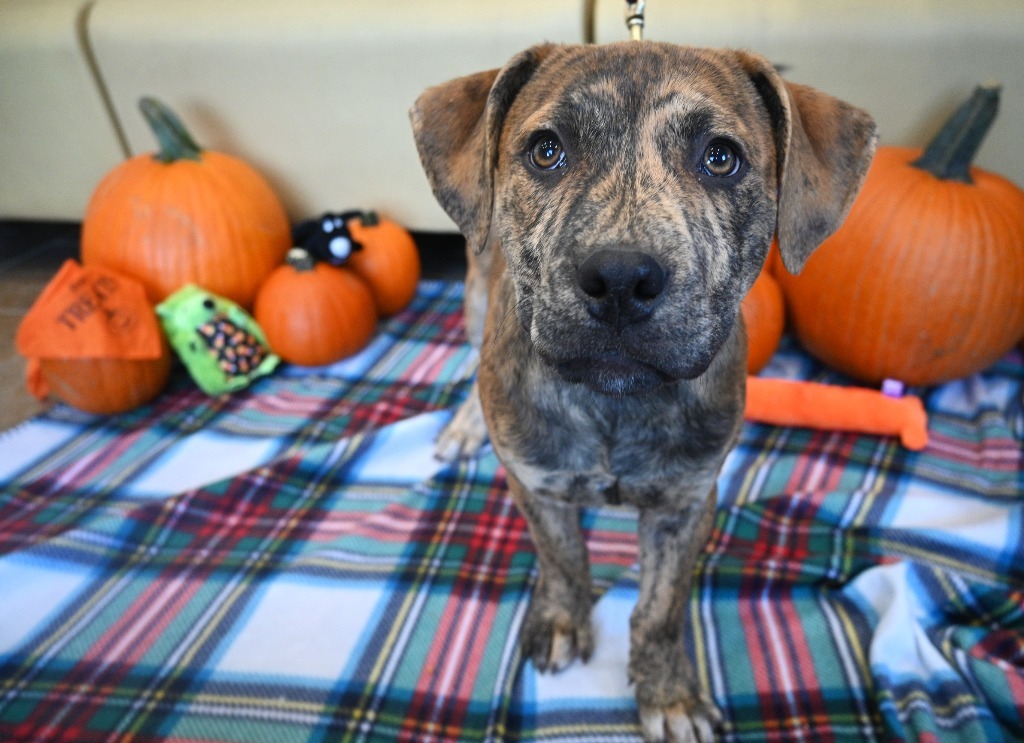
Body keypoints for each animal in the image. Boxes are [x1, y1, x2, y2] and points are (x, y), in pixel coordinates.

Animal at [411, 42, 876, 743]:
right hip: (475, 285)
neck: (615, 403)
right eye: (546, 150)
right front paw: (564, 622)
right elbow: (563, 558)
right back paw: (466, 423)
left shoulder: (685, 503)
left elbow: (661, 607)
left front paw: (671, 696)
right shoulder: (536, 484)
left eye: (721, 157)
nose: (621, 279)